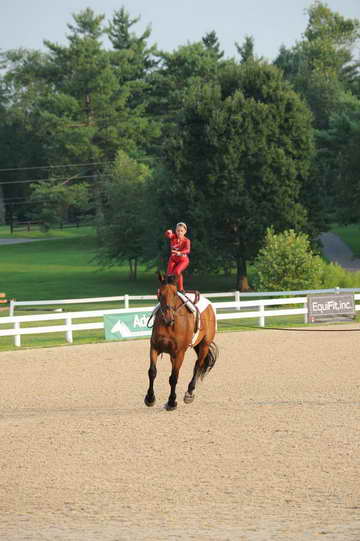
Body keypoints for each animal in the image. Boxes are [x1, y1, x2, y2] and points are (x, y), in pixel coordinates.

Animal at [144, 274, 218, 410]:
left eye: (174, 294)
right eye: (159, 293)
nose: (167, 317)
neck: (170, 324)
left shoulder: (179, 353)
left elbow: (174, 377)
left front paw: (172, 401)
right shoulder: (154, 348)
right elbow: (152, 372)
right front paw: (150, 398)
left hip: (204, 345)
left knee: (198, 365)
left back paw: (190, 392)